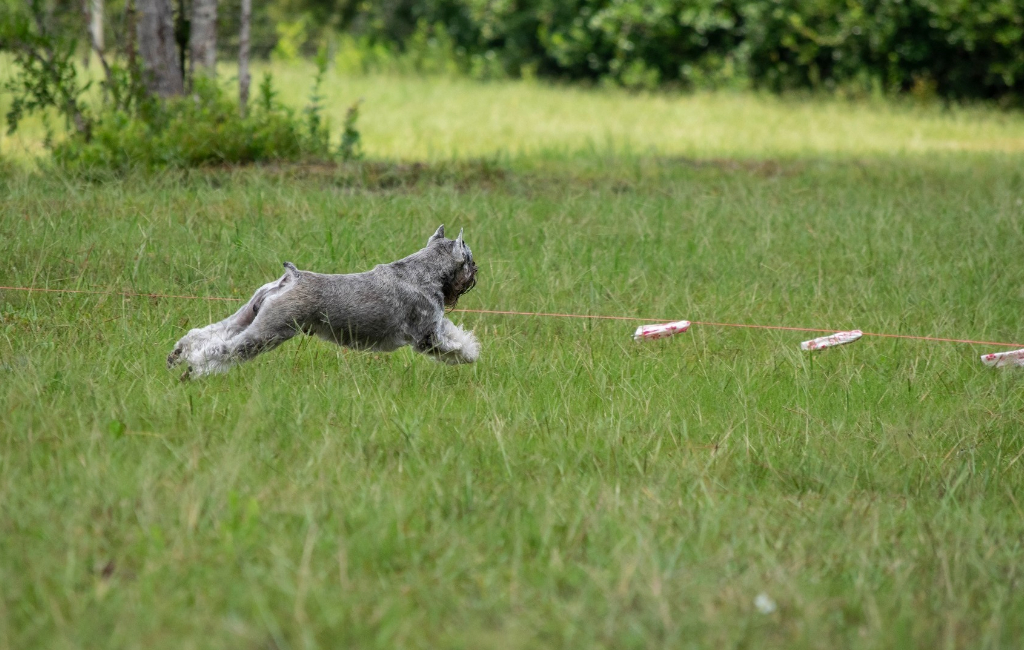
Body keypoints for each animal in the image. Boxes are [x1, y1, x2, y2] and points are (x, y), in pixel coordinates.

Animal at [167, 225, 479, 380]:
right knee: (221, 349)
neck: (423, 270)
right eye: (469, 257)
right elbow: (454, 347)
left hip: (248, 316)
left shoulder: (436, 326)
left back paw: (178, 354)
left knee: (205, 333)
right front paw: (470, 355)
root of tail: (291, 277)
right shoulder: (427, 336)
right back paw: (193, 370)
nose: (476, 272)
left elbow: (455, 333)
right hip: (268, 332)